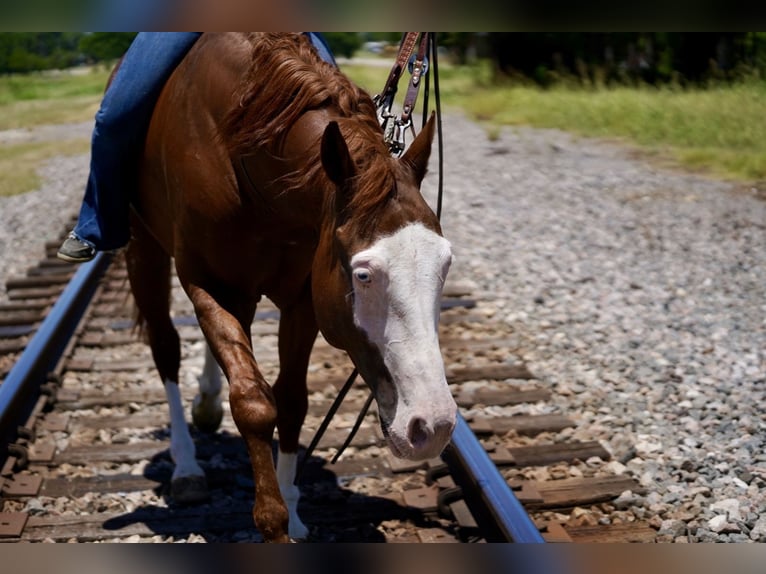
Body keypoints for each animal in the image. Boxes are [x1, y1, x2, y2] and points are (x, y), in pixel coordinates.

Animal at [126, 32, 456, 544]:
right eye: (363, 275)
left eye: (445, 265)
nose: (433, 426)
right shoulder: (210, 285)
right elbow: (254, 401)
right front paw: (272, 521)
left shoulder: (305, 299)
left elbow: (292, 402)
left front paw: (295, 515)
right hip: (144, 248)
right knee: (165, 346)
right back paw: (186, 467)